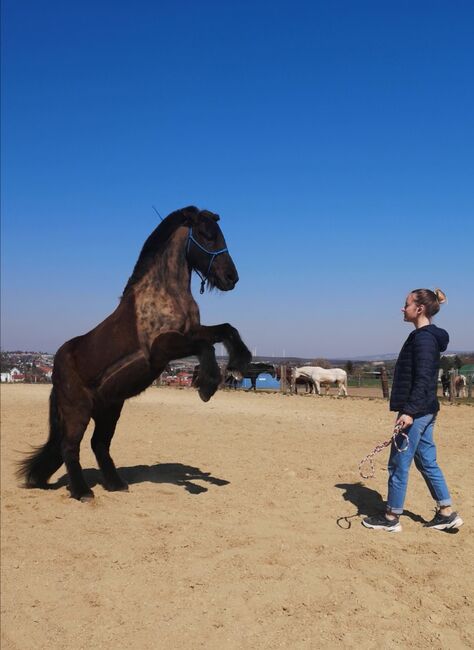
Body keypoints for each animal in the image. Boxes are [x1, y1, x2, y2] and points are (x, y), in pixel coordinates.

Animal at [17, 205, 252, 498]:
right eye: (206, 234)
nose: (232, 277)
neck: (165, 294)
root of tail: (56, 375)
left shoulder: (193, 331)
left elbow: (227, 329)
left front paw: (240, 361)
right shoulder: (162, 348)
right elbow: (205, 346)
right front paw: (207, 386)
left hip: (109, 409)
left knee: (99, 444)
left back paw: (116, 484)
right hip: (77, 409)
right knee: (70, 447)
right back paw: (83, 492)